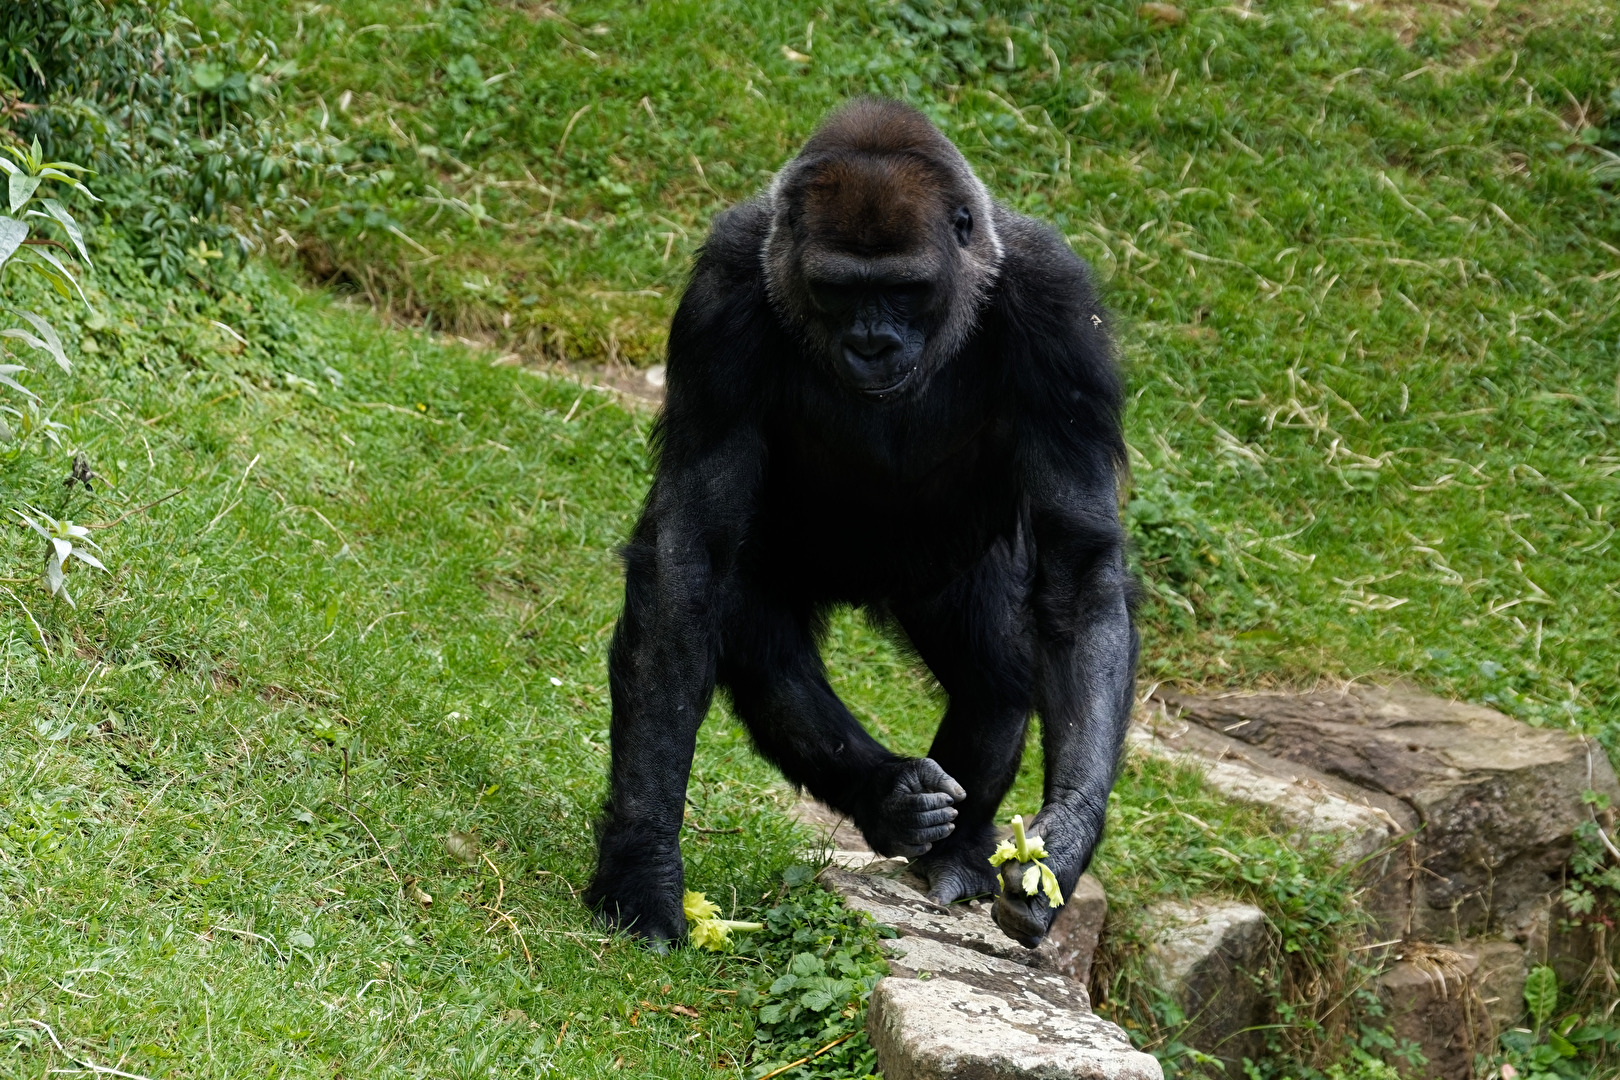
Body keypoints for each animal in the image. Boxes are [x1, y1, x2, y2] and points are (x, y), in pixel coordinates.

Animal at [584, 98, 1136, 948]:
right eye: (836, 289)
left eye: (907, 290)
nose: (873, 344)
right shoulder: (722, 296)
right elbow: (687, 562)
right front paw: (641, 861)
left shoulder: (1059, 307)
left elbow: (1078, 575)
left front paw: (1066, 837)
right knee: (761, 644)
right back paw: (887, 797)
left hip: (949, 575)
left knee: (996, 670)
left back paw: (956, 850)